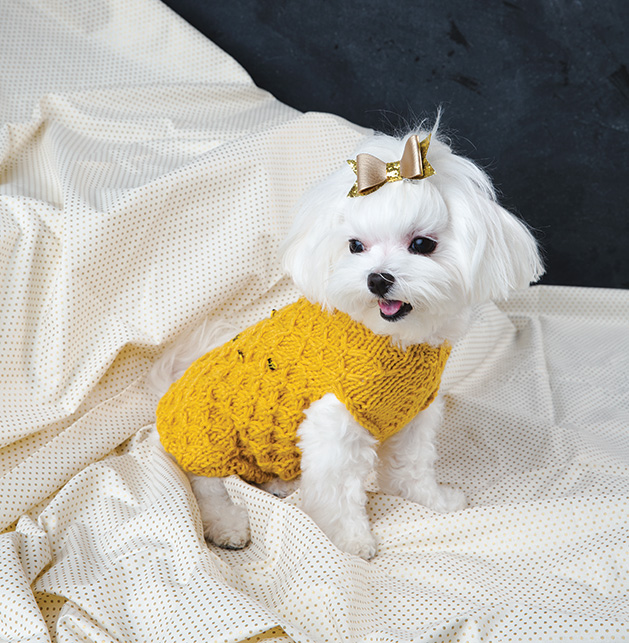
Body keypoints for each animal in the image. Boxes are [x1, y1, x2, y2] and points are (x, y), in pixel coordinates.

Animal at [150, 128, 544, 560]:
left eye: (422, 244)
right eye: (355, 246)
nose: (377, 279)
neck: (391, 341)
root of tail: (169, 388)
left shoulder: (413, 418)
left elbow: (412, 465)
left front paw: (430, 501)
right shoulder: (333, 426)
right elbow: (337, 494)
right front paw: (348, 542)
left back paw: (280, 484)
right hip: (208, 434)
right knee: (205, 484)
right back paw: (226, 524)